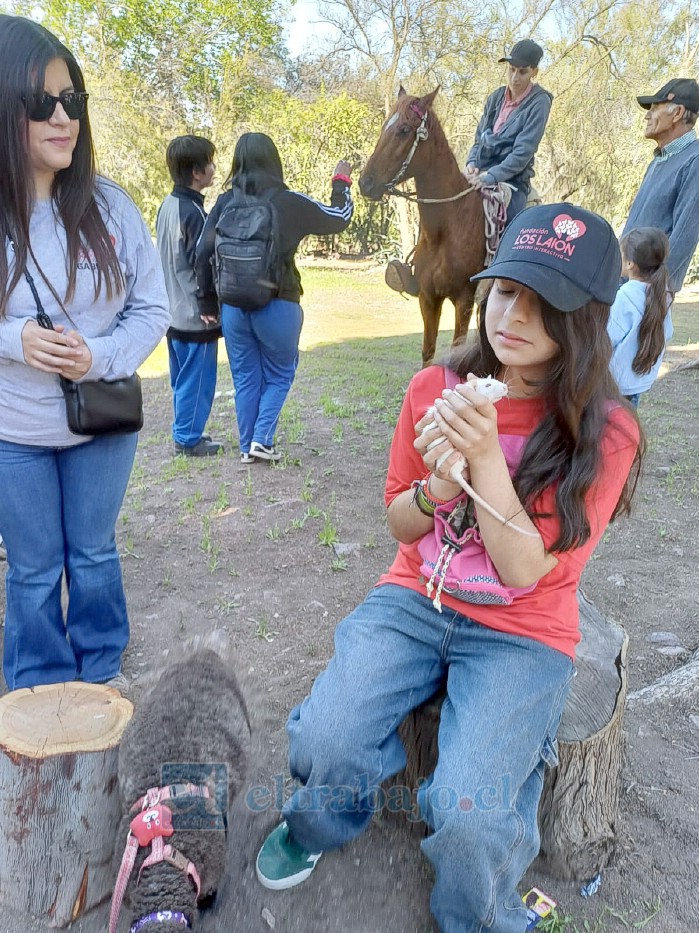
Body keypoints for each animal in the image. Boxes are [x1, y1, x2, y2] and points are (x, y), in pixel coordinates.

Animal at [360, 87, 486, 364]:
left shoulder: (464, 299)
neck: (447, 228)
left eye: (404, 129)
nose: (365, 182)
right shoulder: (429, 298)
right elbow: (428, 353)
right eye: (385, 126)